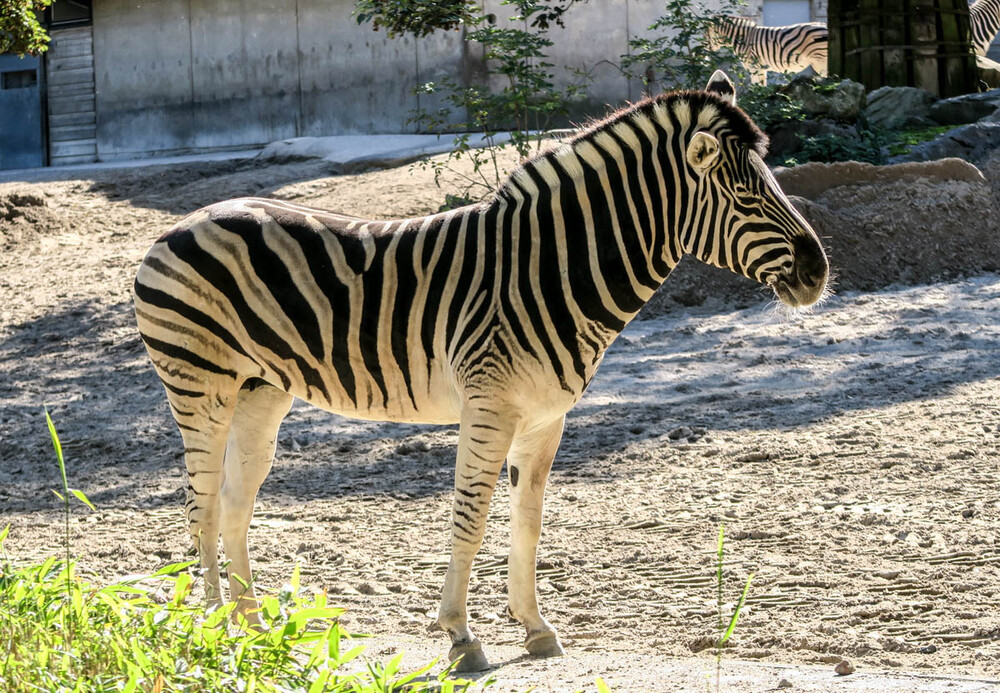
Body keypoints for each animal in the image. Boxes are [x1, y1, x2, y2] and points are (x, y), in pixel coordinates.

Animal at [137, 71, 832, 672]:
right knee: (201, 507)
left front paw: (536, 628)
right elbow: (470, 516)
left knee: (234, 504)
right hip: (199, 384)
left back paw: (253, 632)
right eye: (747, 196)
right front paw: (461, 637)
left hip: (261, 391)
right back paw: (214, 636)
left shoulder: (547, 416)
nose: (820, 273)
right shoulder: (489, 405)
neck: (552, 268)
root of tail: (186, 221)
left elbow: (528, 521)